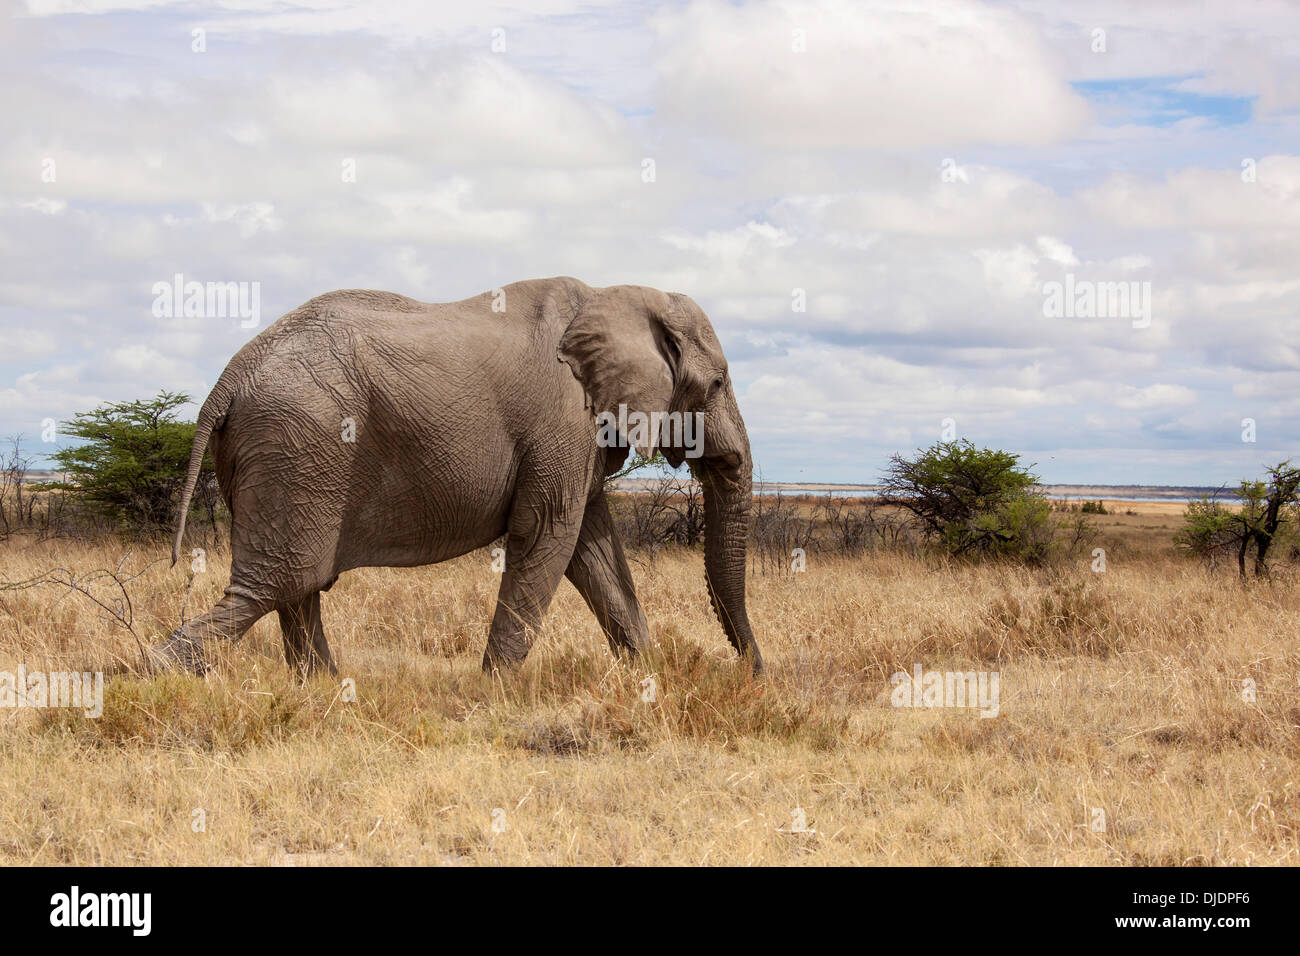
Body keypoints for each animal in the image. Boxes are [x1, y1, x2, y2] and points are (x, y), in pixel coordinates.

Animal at [154, 277, 759, 676]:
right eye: (719, 383)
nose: (753, 674)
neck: (621, 297)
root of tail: (230, 376)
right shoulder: (563, 419)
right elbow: (547, 536)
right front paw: (495, 692)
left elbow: (594, 551)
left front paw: (646, 680)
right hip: (300, 445)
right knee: (278, 581)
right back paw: (157, 672)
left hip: (281, 454)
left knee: (294, 587)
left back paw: (322, 688)